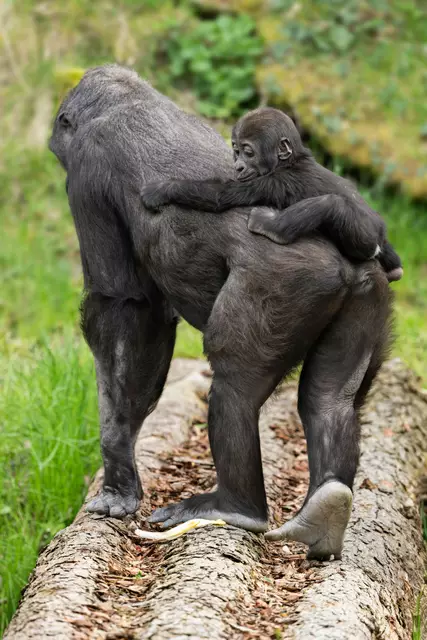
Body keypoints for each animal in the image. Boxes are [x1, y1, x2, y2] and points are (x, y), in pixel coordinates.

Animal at [141, 107, 402, 282]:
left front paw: (163, 188)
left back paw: (272, 227)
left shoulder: (273, 182)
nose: (238, 167)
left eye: (248, 152)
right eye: (235, 150)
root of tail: (381, 235)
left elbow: (221, 195)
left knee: (332, 205)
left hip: (364, 237)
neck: (291, 160)